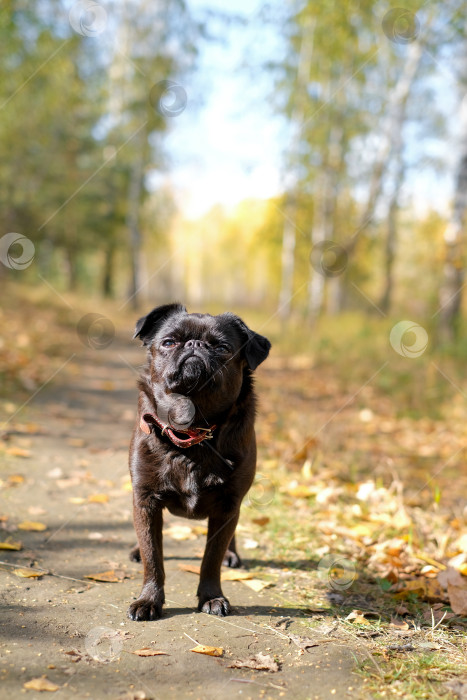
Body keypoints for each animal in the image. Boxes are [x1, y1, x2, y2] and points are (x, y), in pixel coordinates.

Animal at [128, 304, 270, 620]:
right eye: (169, 342)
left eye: (222, 347)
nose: (195, 345)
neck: (191, 431)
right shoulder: (145, 500)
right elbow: (153, 557)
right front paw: (148, 599)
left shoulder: (228, 504)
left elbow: (211, 558)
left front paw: (211, 596)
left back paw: (232, 554)